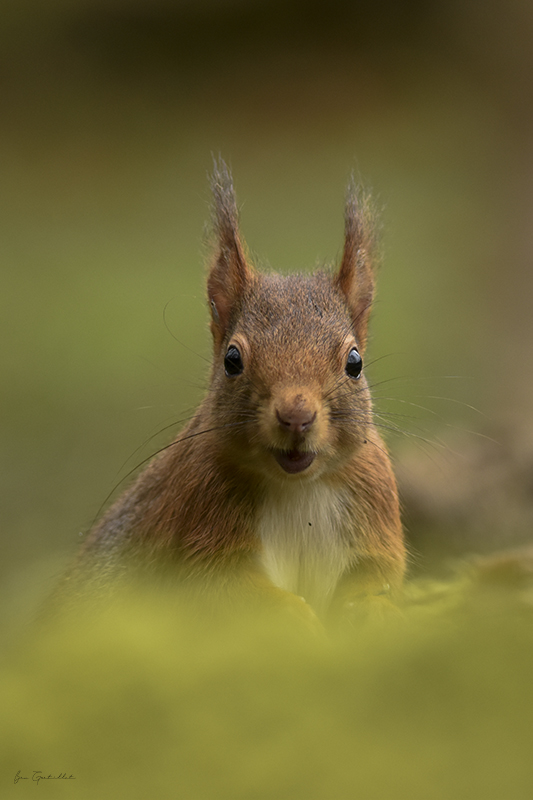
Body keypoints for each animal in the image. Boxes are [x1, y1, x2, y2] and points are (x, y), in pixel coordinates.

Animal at [64, 159, 406, 628]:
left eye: (354, 363)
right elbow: (227, 590)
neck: (296, 488)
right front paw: (295, 617)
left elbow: (377, 573)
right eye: (232, 360)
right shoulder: (199, 517)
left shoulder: (374, 507)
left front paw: (372, 609)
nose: (295, 416)